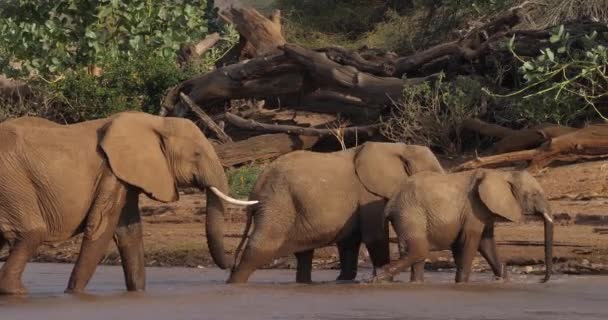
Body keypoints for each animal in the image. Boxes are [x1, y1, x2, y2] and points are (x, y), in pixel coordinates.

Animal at [0, 112, 256, 296]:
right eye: (197, 155)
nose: (233, 262)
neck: (156, 122)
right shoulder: (111, 172)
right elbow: (100, 228)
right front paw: (73, 294)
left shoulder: (124, 175)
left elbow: (130, 232)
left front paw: (138, 294)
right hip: (12, 184)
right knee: (31, 233)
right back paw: (18, 292)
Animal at [226, 141, 444, 284]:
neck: (400, 148)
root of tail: (257, 184)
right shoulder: (368, 193)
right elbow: (374, 236)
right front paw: (384, 281)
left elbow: (349, 241)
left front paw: (344, 280)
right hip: (278, 201)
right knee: (261, 246)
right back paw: (234, 285)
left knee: (303, 253)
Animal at [368, 169, 552, 284]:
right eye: (534, 194)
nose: (542, 280)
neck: (502, 174)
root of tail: (390, 202)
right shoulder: (473, 209)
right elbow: (470, 241)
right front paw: (462, 283)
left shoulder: (484, 210)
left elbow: (486, 243)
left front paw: (503, 278)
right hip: (410, 213)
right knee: (419, 249)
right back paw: (377, 278)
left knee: (416, 252)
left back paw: (412, 282)